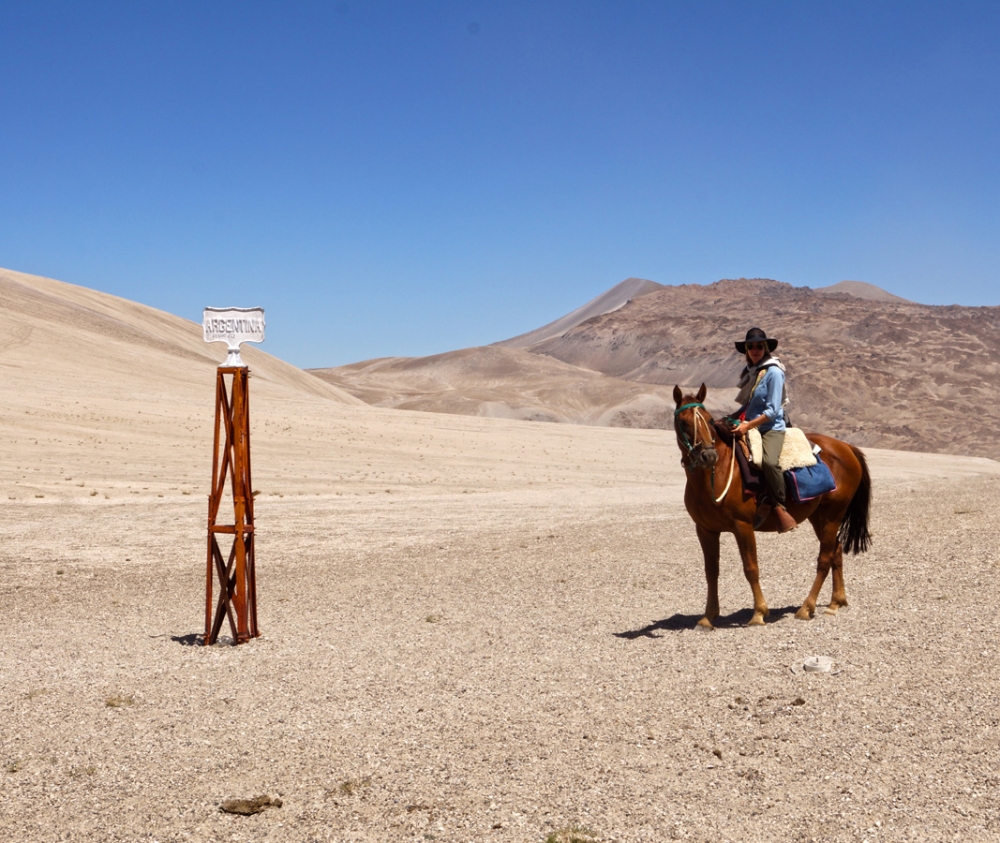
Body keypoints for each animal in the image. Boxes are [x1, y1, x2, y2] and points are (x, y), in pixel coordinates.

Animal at [672, 386, 876, 628]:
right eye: (683, 422)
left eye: (709, 419)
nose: (708, 455)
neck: (716, 474)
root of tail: (847, 447)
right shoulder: (705, 530)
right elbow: (711, 571)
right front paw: (707, 617)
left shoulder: (743, 526)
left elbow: (751, 568)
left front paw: (759, 613)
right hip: (819, 517)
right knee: (836, 550)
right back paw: (836, 602)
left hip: (832, 515)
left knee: (824, 558)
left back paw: (806, 608)